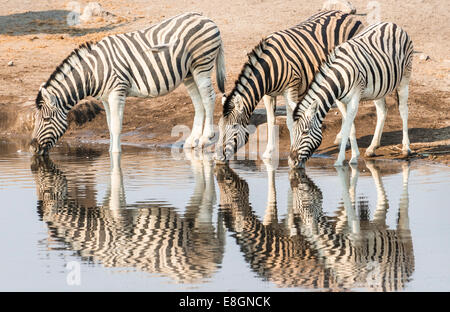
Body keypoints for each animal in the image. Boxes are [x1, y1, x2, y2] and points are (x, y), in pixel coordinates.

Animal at [29, 12, 225, 156]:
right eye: (36, 119)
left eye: (46, 120)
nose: (32, 147)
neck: (94, 72)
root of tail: (207, 18)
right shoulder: (106, 98)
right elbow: (109, 125)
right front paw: (110, 152)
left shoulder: (117, 92)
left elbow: (116, 126)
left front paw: (116, 154)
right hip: (189, 73)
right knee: (199, 103)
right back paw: (192, 141)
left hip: (202, 65)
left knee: (209, 98)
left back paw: (206, 138)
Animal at [213, 9, 364, 162]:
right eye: (219, 127)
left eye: (234, 127)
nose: (217, 157)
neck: (269, 68)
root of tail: (344, 13)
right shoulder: (268, 94)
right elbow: (271, 120)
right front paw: (269, 152)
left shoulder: (291, 89)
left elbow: (290, 123)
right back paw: (341, 138)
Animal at [290, 22, 414, 168]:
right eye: (292, 132)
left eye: (305, 132)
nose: (292, 161)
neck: (338, 77)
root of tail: (391, 24)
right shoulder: (340, 101)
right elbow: (351, 128)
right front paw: (354, 156)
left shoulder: (354, 98)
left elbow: (347, 127)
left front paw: (340, 160)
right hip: (379, 88)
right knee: (382, 111)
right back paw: (372, 148)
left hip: (405, 76)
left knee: (403, 110)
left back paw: (406, 148)